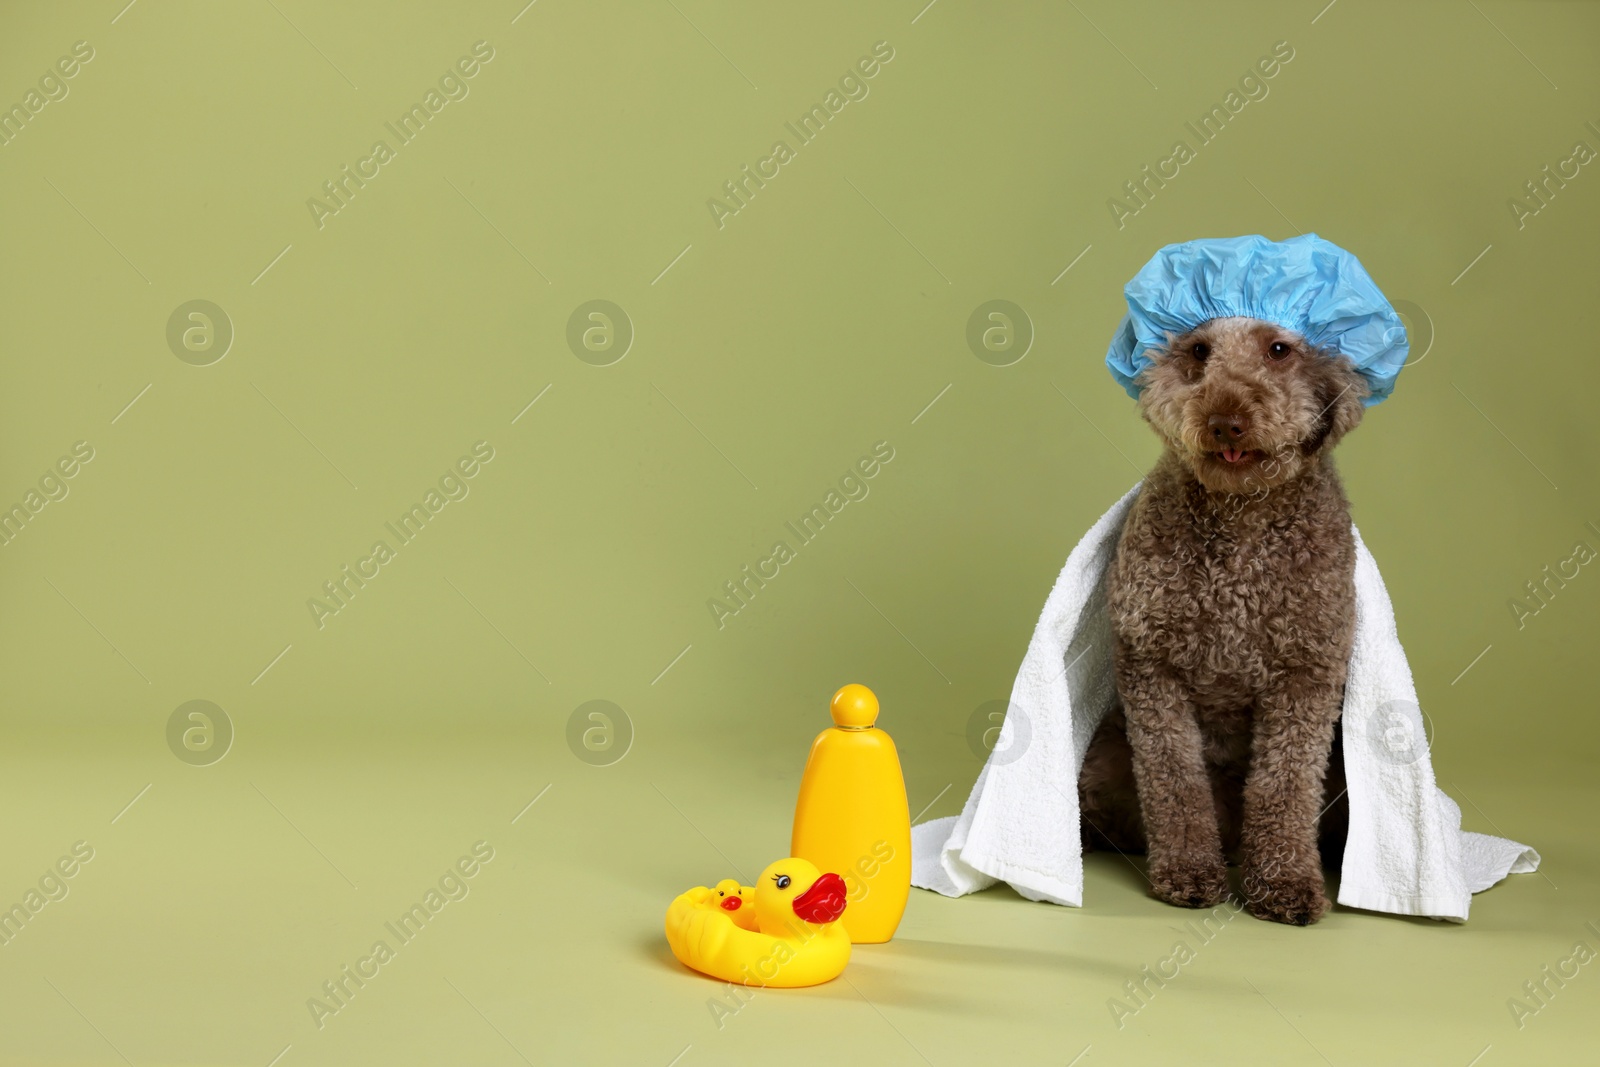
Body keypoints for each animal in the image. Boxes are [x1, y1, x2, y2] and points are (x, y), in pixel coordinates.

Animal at [1075, 316, 1363, 927]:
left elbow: (1285, 787)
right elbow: (1175, 782)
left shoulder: (1307, 674)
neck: (1242, 516)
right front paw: (1187, 872)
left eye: (1278, 350)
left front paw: (1283, 884)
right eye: (1198, 351)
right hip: (1105, 755)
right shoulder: (1152, 665)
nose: (1225, 420)